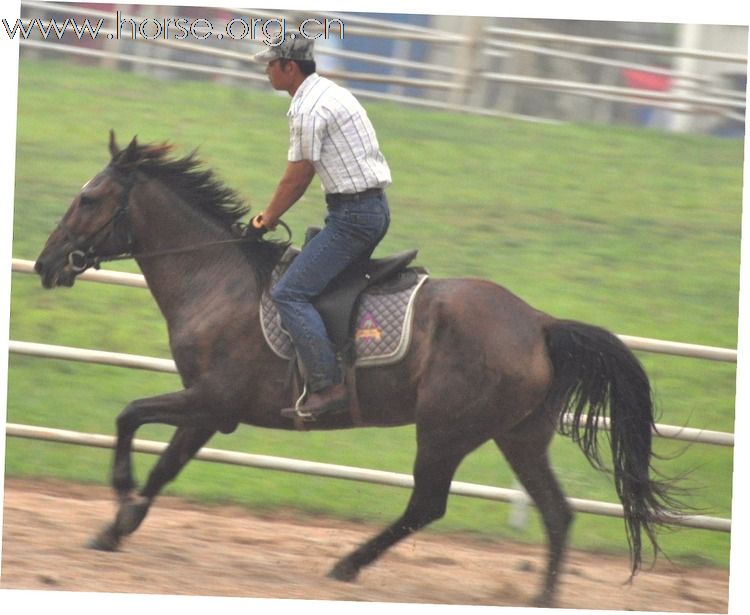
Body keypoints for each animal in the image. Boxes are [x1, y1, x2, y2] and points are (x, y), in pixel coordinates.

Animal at [35, 132, 680, 608]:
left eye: (89, 198)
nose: (45, 263)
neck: (215, 280)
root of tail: (540, 322)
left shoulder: (211, 399)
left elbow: (129, 416)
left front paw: (119, 497)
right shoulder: (210, 411)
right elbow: (165, 466)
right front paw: (119, 525)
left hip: (446, 431)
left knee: (428, 506)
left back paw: (347, 564)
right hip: (518, 437)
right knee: (556, 512)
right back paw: (541, 596)